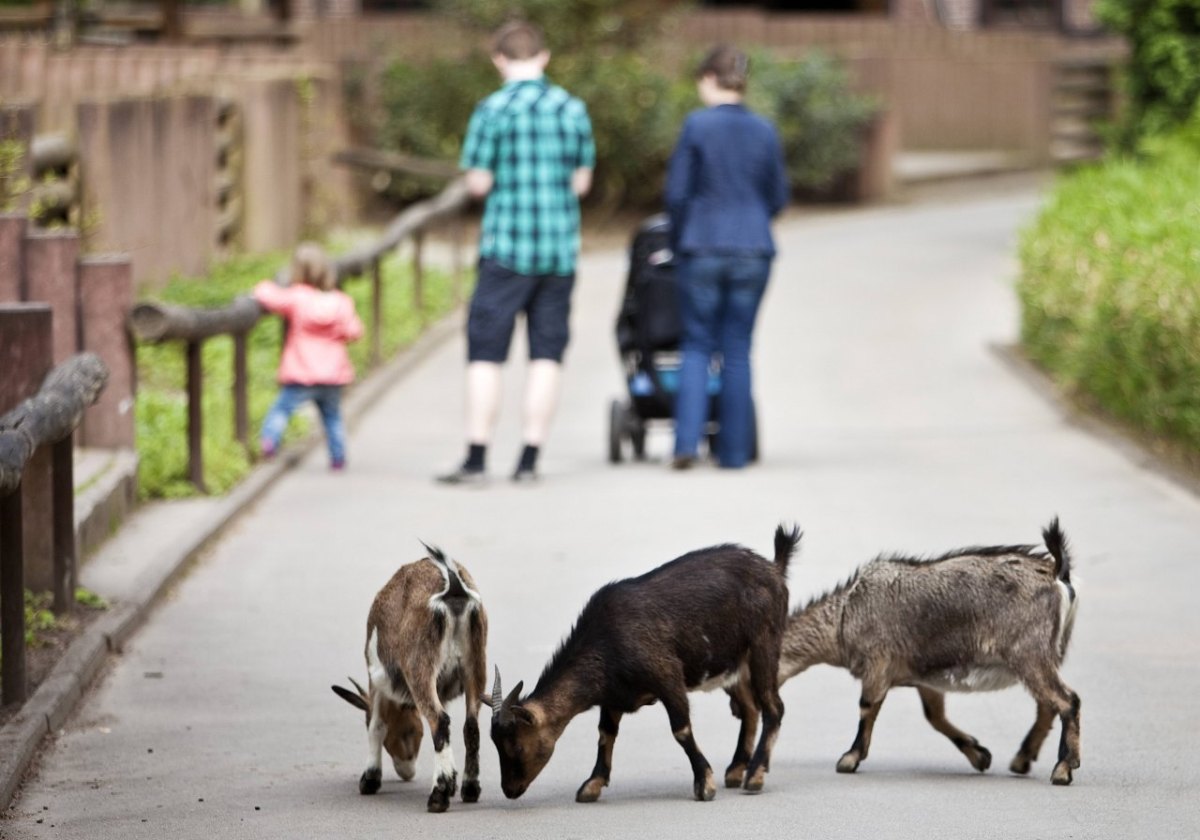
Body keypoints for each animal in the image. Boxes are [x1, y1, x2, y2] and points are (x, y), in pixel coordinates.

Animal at [333, 544, 487, 816]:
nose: (406, 771)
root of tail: (453, 586)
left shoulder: (376, 680)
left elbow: (377, 726)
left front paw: (369, 779)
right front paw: (453, 780)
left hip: (420, 667)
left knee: (439, 720)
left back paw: (437, 797)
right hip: (475, 665)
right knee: (470, 726)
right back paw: (469, 789)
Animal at [487, 520, 796, 801]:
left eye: (516, 747)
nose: (510, 790)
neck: (607, 640)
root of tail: (774, 569)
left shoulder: (668, 677)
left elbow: (681, 729)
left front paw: (704, 784)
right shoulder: (613, 697)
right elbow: (605, 734)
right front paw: (592, 785)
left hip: (764, 644)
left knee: (773, 707)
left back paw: (754, 776)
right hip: (733, 664)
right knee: (750, 708)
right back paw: (735, 770)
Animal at [724, 518, 1084, 787]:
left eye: (742, 681)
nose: (737, 711)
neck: (844, 616)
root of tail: (1058, 574)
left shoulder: (877, 664)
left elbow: (867, 707)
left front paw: (849, 759)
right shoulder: (925, 678)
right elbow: (935, 717)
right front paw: (979, 754)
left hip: (1029, 653)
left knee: (1067, 700)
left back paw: (1064, 768)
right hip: (1039, 658)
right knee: (1047, 705)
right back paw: (1022, 759)